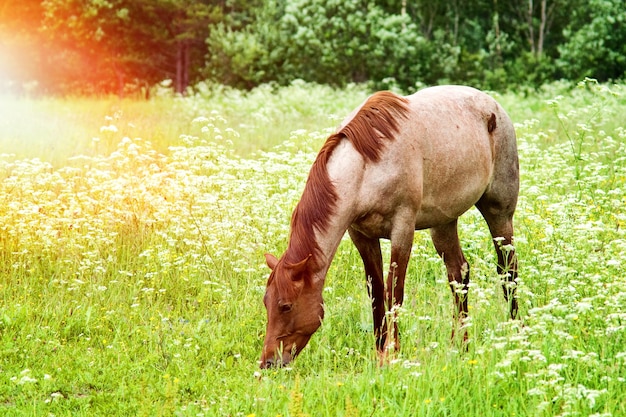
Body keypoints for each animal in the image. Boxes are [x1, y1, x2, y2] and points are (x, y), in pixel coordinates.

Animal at [258, 84, 516, 368]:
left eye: (286, 306)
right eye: (266, 303)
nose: (268, 362)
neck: (367, 167)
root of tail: (493, 106)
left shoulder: (402, 229)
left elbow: (394, 292)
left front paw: (393, 353)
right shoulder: (361, 235)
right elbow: (377, 292)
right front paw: (380, 353)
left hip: (500, 214)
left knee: (508, 271)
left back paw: (517, 333)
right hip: (444, 223)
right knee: (458, 274)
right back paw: (461, 346)